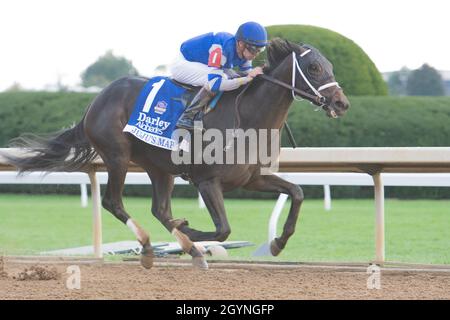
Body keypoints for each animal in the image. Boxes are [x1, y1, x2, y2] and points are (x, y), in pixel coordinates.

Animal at [4, 38, 352, 268]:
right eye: (314, 67)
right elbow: (223, 229)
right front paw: (189, 231)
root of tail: (96, 100)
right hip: (117, 157)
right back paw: (149, 246)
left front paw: (278, 243)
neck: (249, 117)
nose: (341, 103)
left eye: (330, 66)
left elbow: (297, 192)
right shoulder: (207, 181)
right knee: (113, 202)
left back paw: (190, 249)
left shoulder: (253, 178)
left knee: (159, 209)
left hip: (160, 168)